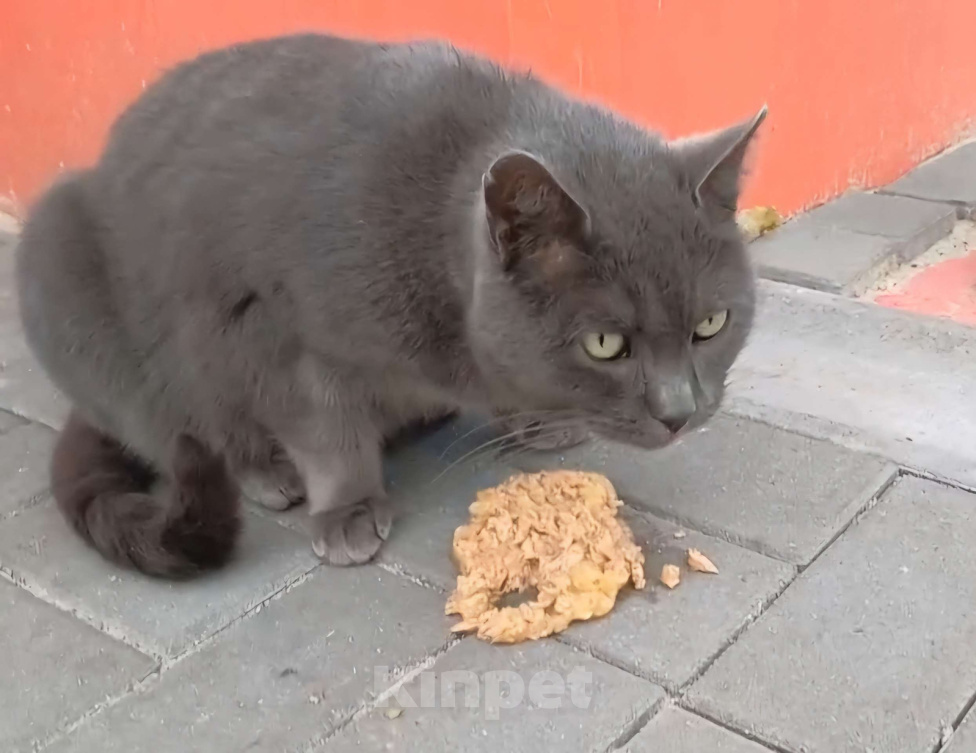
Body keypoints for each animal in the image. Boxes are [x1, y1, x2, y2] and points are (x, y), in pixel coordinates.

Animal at [13, 33, 764, 576]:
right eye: (606, 344)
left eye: (711, 324)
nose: (681, 412)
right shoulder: (276, 331)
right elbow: (324, 429)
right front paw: (346, 509)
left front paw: (539, 421)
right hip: (61, 263)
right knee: (185, 429)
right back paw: (267, 473)